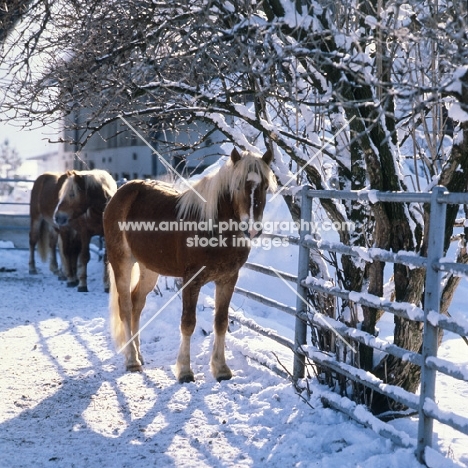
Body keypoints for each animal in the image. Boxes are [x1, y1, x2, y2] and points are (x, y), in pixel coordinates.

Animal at [104, 148, 276, 382]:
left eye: (265, 187)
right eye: (238, 186)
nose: (251, 228)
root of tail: (120, 194)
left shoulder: (228, 279)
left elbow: (221, 322)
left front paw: (221, 369)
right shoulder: (191, 281)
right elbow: (188, 323)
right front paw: (185, 371)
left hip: (149, 269)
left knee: (137, 303)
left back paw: (139, 355)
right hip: (122, 262)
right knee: (126, 307)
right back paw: (132, 361)